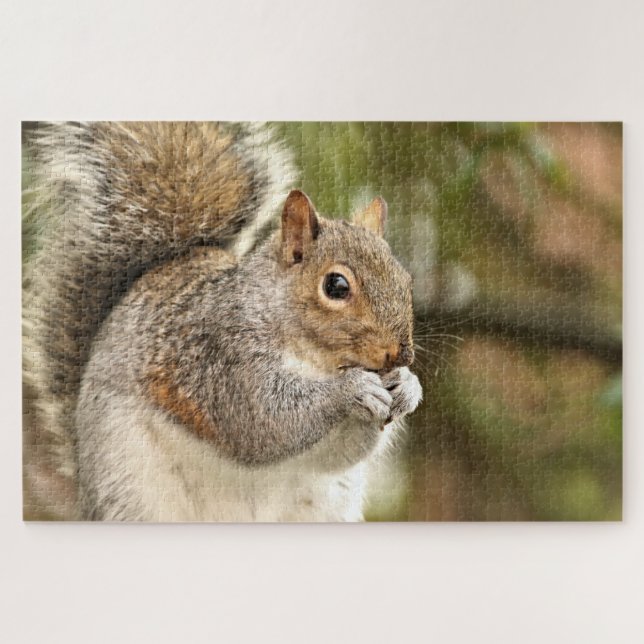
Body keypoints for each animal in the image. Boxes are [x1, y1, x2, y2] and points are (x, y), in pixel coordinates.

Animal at [23, 122, 422, 522]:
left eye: (406, 279)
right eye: (335, 285)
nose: (400, 354)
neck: (315, 359)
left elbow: (337, 454)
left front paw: (407, 386)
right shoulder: (222, 356)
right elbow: (263, 420)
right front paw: (352, 388)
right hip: (131, 493)